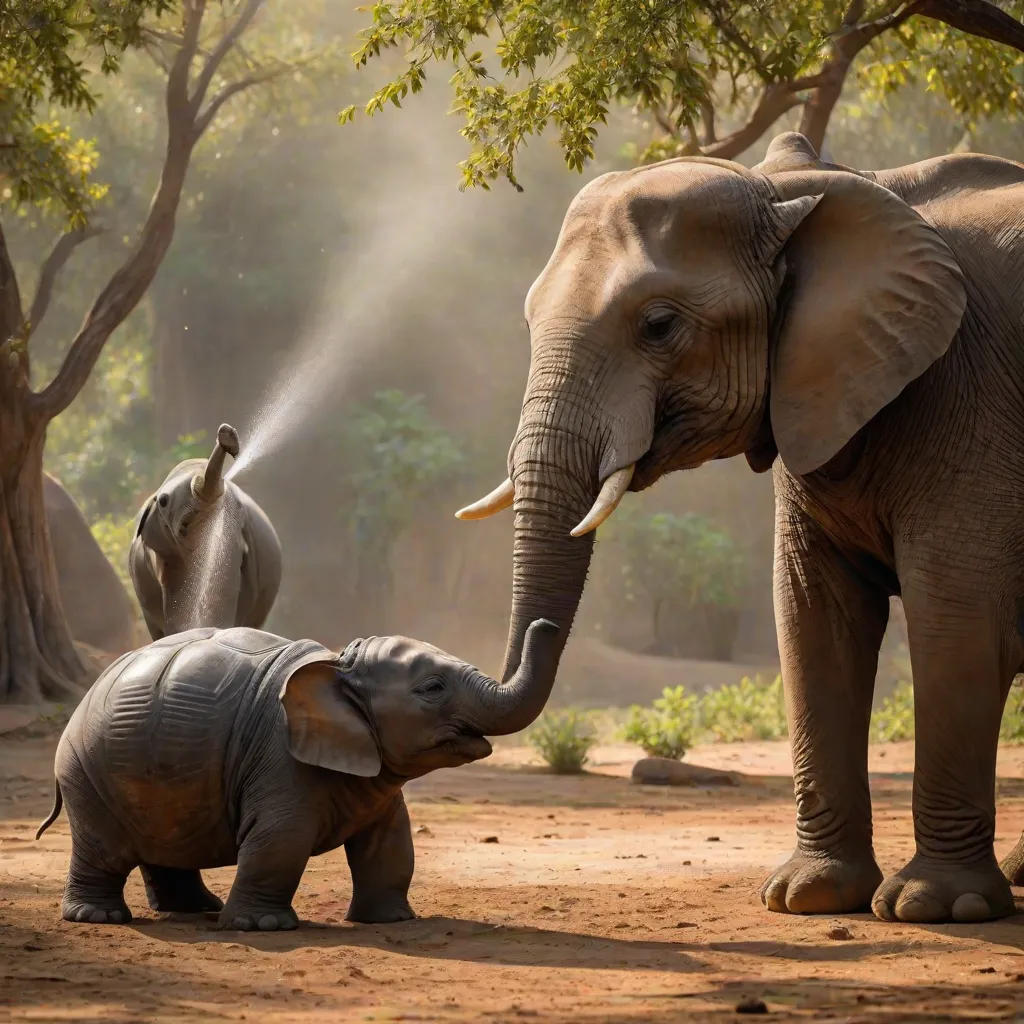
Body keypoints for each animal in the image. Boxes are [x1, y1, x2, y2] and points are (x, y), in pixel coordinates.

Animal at [36, 618, 559, 929]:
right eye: (432, 688)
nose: (548, 624)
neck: (337, 664)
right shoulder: (278, 756)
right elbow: (280, 839)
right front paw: (262, 928)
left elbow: (390, 844)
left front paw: (391, 922)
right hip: (87, 768)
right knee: (104, 845)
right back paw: (99, 917)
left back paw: (194, 909)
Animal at [455, 131, 1024, 924]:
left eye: (659, 325)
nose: (536, 634)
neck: (790, 189)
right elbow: (815, 620)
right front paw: (808, 897)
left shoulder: (968, 395)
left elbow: (959, 623)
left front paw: (935, 908)